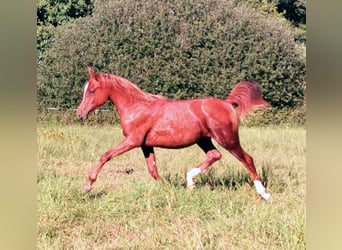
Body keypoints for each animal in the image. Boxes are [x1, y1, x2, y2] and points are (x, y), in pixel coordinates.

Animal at [76, 67, 272, 200]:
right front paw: (168, 188)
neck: (136, 106)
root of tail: (227, 103)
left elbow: (105, 156)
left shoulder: (133, 140)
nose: (80, 114)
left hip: (227, 139)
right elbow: (153, 170)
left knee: (247, 159)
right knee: (214, 155)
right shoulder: (145, 145)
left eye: (92, 90)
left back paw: (263, 193)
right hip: (204, 139)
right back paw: (190, 182)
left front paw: (87, 186)